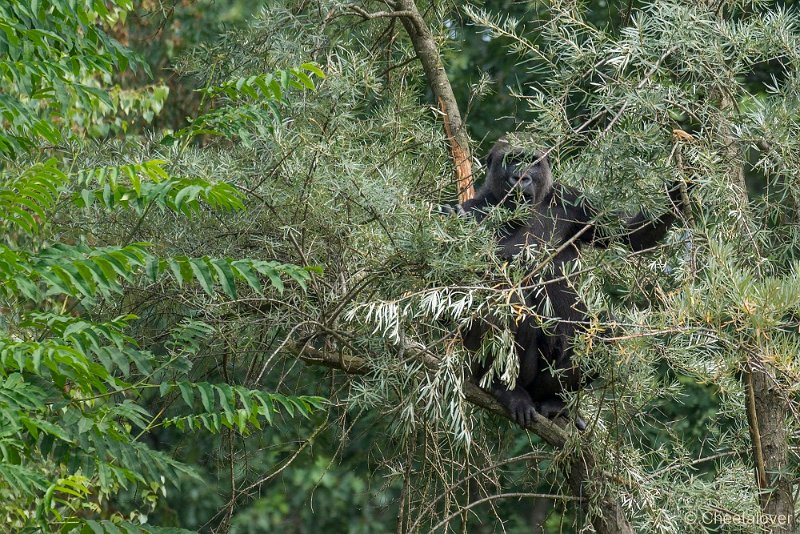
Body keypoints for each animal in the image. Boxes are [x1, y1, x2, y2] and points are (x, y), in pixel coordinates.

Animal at [456, 140, 688, 430]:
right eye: (511, 160)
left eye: (532, 161)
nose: (520, 177)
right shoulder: (475, 209)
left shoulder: (573, 201)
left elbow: (629, 236)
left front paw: (680, 187)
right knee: (507, 304)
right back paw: (505, 389)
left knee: (606, 328)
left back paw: (555, 401)